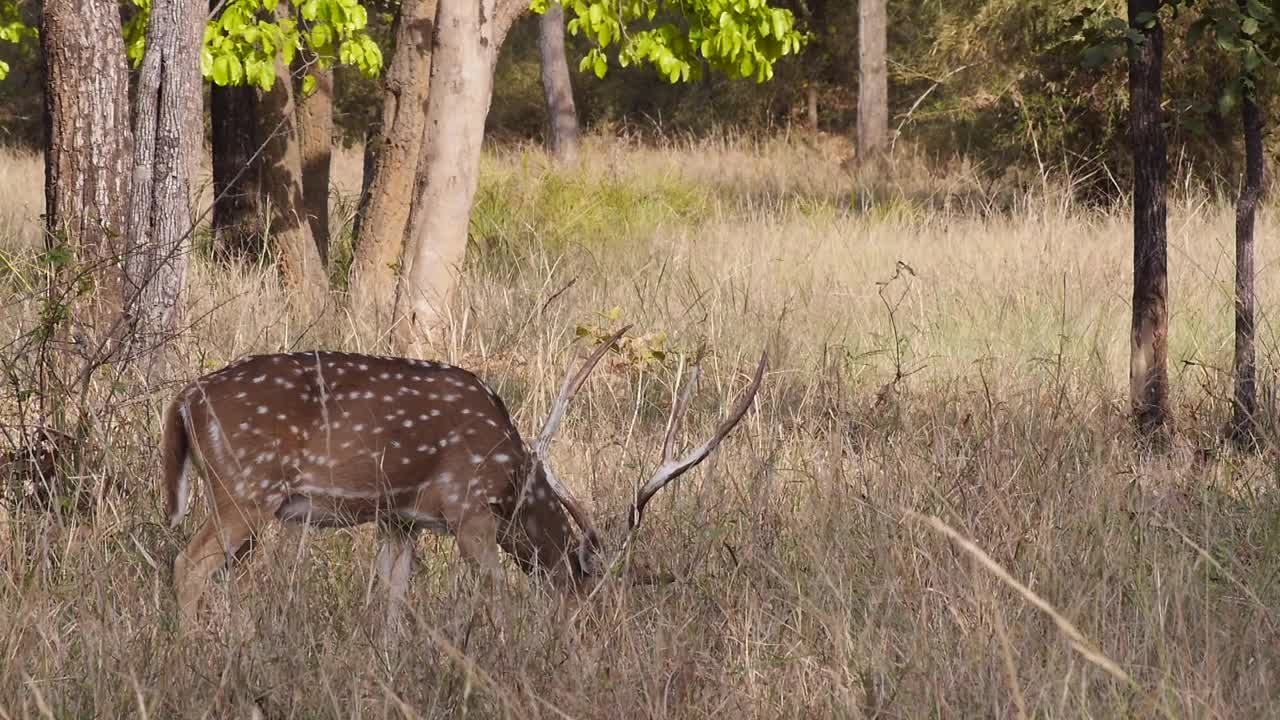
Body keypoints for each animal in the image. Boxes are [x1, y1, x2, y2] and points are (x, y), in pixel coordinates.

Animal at [163, 327, 762, 630]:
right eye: (588, 596)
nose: (586, 640)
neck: (513, 479)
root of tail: (186, 398)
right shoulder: (469, 510)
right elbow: (499, 592)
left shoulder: (399, 519)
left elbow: (393, 597)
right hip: (244, 489)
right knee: (189, 563)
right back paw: (191, 650)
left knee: (225, 575)